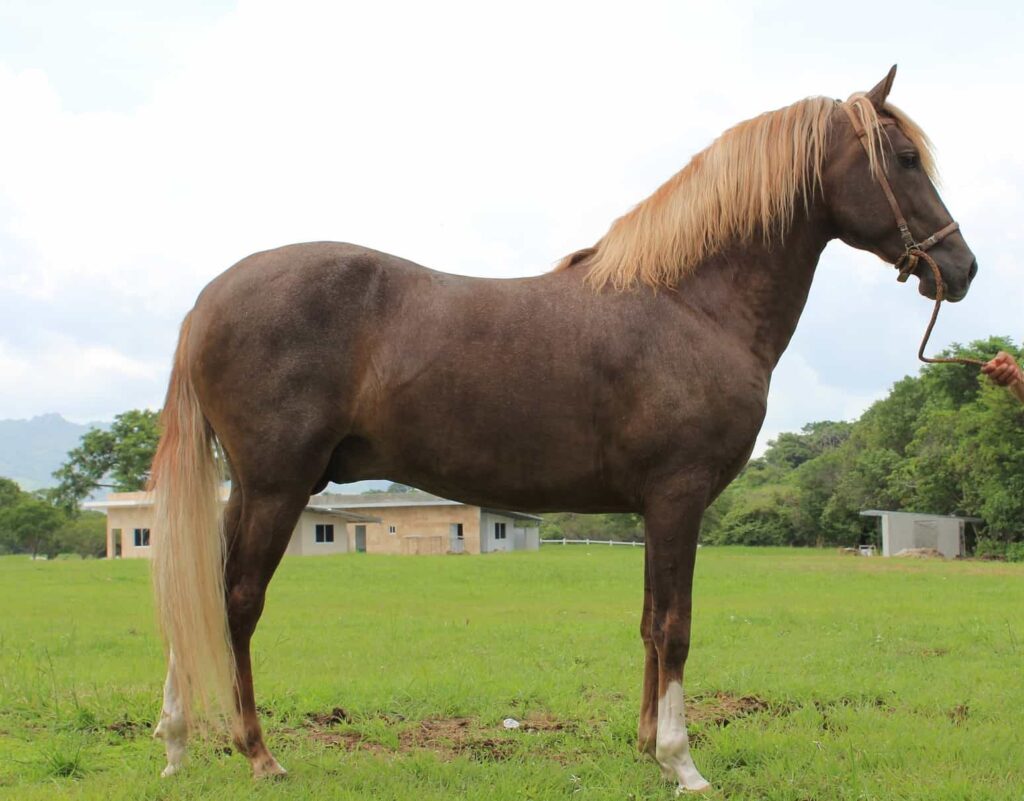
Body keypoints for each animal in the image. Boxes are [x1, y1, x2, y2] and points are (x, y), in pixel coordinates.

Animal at [149, 66, 974, 794]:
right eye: (904, 159)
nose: (961, 267)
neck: (690, 303)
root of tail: (208, 300)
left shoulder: (652, 508)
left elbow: (648, 622)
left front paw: (645, 746)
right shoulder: (678, 498)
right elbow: (675, 625)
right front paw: (682, 763)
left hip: (248, 489)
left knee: (199, 592)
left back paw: (178, 743)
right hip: (276, 485)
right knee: (236, 600)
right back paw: (258, 754)